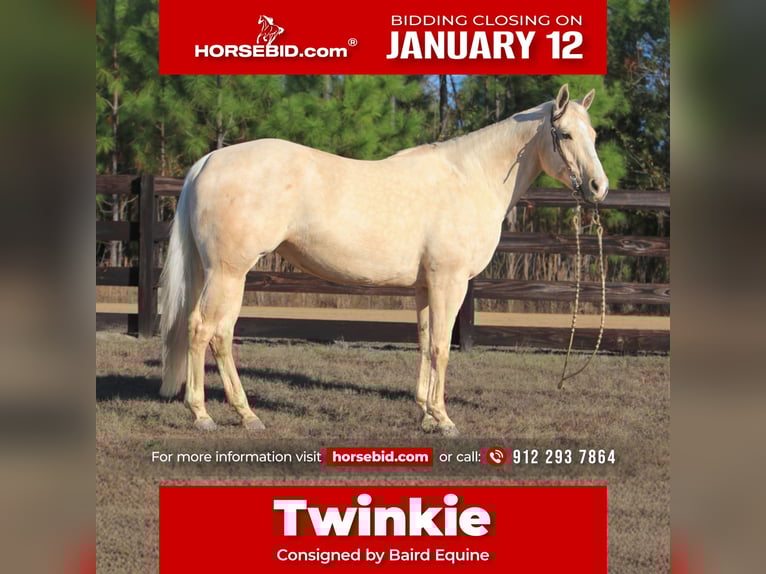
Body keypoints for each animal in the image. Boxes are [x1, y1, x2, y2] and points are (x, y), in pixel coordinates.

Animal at [159, 84, 609, 436]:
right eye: (564, 134)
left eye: (593, 134)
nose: (598, 187)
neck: (470, 178)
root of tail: (208, 161)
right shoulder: (449, 281)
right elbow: (442, 345)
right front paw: (444, 419)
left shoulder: (426, 286)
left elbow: (425, 342)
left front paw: (426, 414)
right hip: (229, 273)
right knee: (205, 330)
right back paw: (209, 415)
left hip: (219, 274)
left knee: (218, 333)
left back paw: (242, 414)